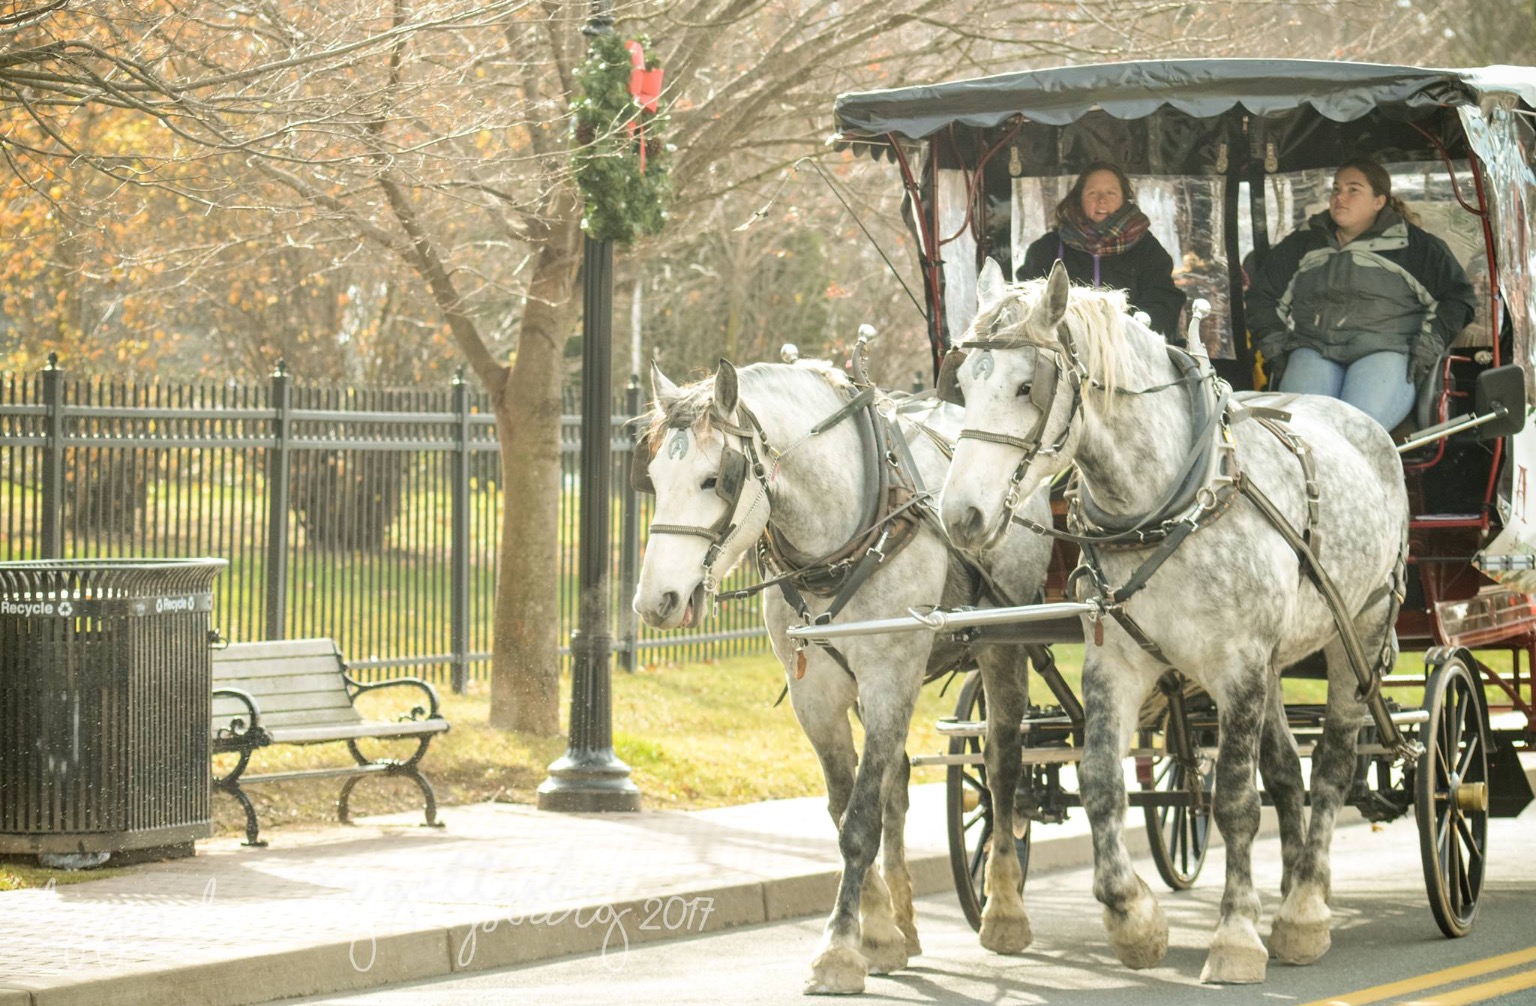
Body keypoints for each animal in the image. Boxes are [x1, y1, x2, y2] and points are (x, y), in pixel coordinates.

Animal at [632, 357, 1056, 995]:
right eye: (654, 478)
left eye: (714, 480)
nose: (655, 602)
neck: (844, 532)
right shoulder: (817, 694)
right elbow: (846, 806)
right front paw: (876, 935)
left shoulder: (889, 676)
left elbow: (858, 822)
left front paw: (836, 951)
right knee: (898, 785)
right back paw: (906, 926)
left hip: (1000, 645)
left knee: (1004, 767)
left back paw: (1005, 911)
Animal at [933, 259, 1406, 982]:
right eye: (961, 384)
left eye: (1026, 385)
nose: (960, 517)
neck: (1165, 503)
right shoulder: (1117, 661)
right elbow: (1101, 783)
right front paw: (1133, 919)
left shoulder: (1238, 665)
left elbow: (1235, 800)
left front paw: (1234, 938)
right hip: (1274, 663)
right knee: (1287, 774)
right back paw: (1292, 890)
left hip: (1361, 629)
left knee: (1330, 768)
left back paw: (1303, 910)